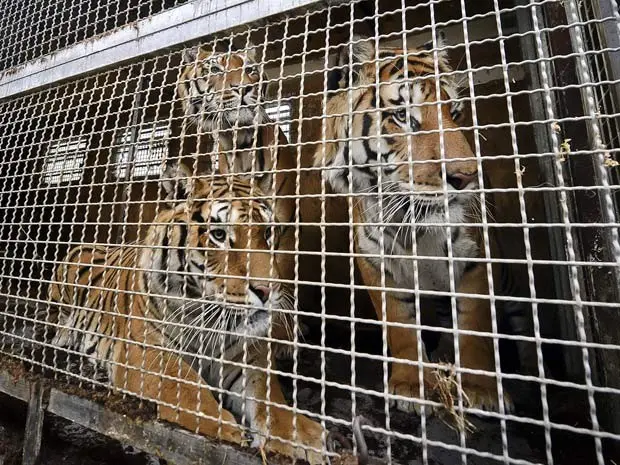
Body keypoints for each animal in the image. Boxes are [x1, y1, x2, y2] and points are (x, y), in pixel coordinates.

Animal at [48, 165, 326, 462]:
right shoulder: (149, 353)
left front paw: (305, 438)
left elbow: (270, 400)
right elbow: (189, 392)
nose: (267, 289)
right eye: (219, 235)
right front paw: (228, 432)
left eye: (268, 233)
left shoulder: (246, 360)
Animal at [314, 36, 512, 412]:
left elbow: (475, 326)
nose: (467, 176)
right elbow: (400, 327)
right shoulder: (377, 265)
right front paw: (411, 386)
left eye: (454, 114)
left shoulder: (474, 259)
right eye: (402, 117)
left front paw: (482, 390)